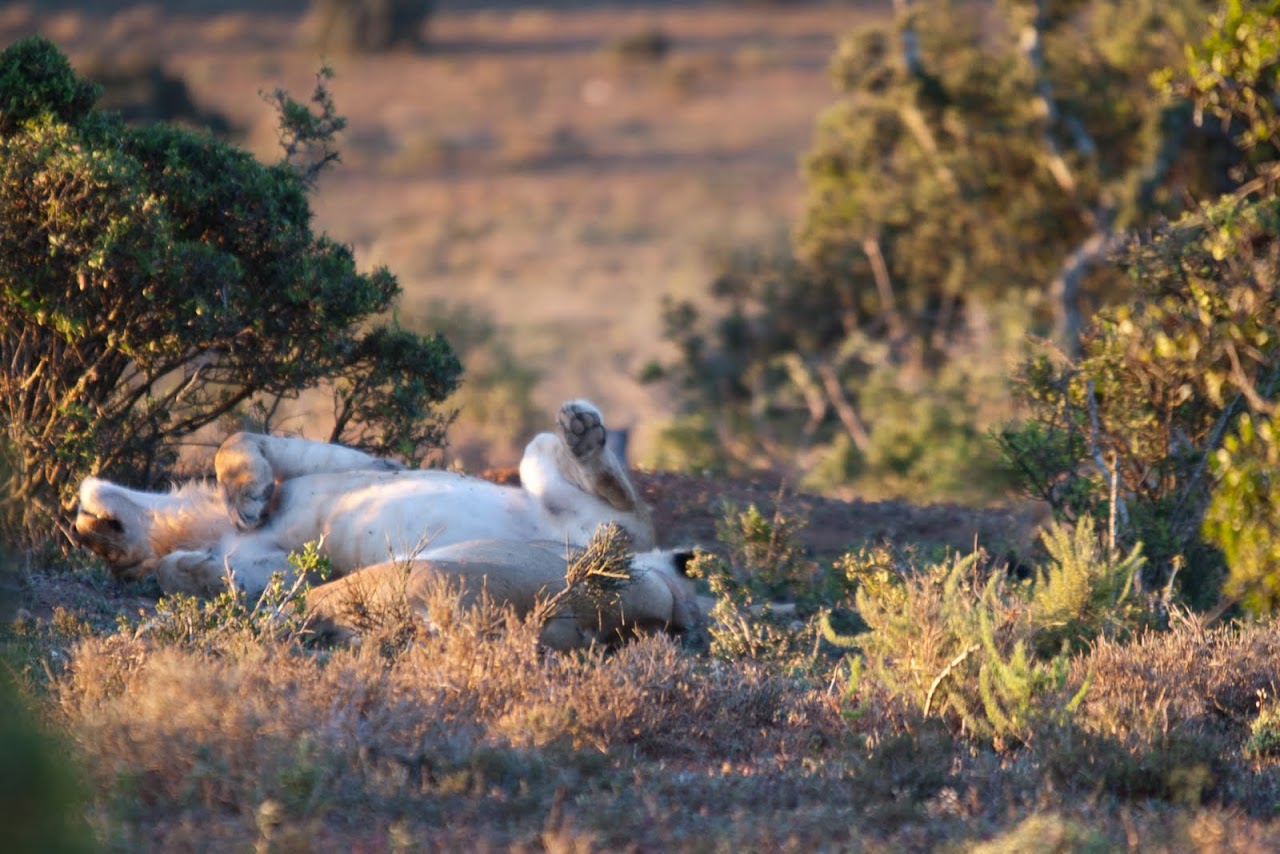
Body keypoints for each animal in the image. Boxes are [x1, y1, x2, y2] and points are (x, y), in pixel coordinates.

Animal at [73, 400, 701, 645]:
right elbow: (183, 574)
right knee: (622, 515)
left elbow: (238, 439)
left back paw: (584, 430)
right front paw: (190, 566)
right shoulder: (277, 574)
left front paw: (247, 498)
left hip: (541, 466)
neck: (205, 529)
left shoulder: (333, 462)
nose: (89, 532)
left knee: (622, 500)